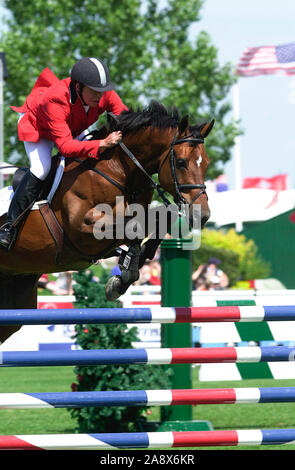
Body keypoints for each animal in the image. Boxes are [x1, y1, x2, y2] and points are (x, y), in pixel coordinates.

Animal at [0, 101, 214, 344]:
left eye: (206, 164)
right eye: (181, 162)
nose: (202, 214)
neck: (118, 170)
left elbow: (159, 217)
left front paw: (132, 264)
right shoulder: (82, 229)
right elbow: (137, 225)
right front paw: (124, 273)